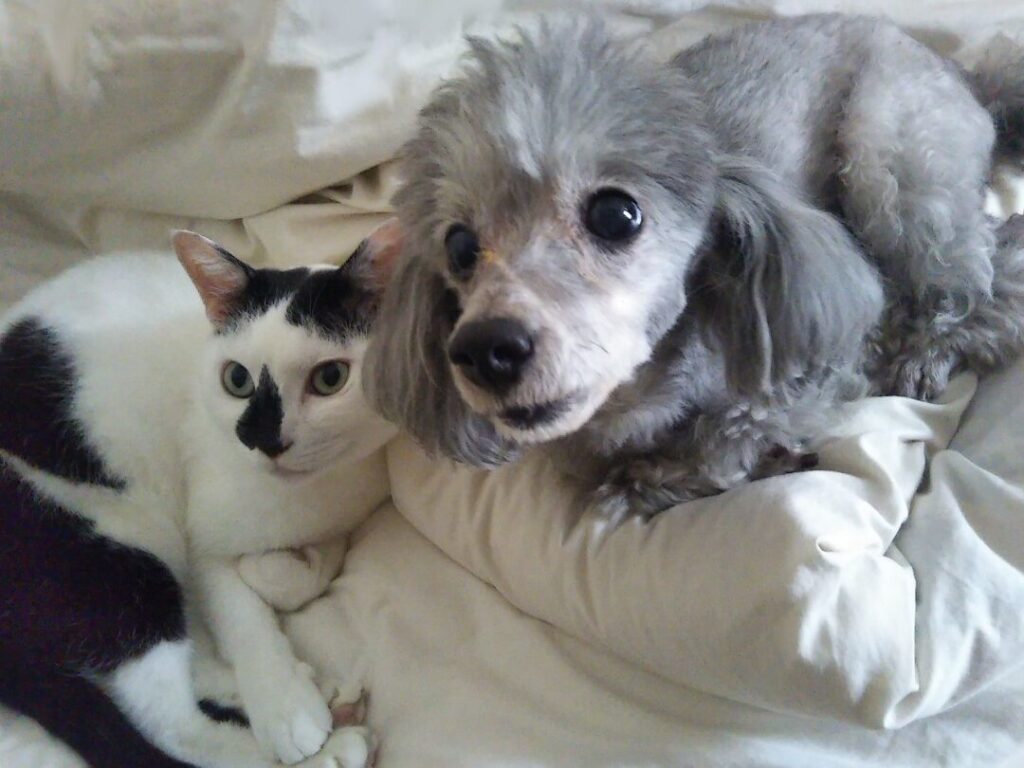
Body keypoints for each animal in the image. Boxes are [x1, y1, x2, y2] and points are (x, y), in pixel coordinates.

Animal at [0, 225, 401, 768]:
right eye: (237, 380)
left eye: (330, 378)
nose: (261, 439)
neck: (318, 487)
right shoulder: (201, 538)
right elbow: (238, 612)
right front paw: (284, 704)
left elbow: (308, 571)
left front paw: (281, 568)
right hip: (116, 559)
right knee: (171, 722)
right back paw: (331, 747)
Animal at [364, 14, 1024, 519]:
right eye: (459, 248)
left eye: (615, 214)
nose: (485, 349)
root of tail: (961, 71)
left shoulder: (814, 362)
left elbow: (725, 435)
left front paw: (663, 475)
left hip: (888, 155)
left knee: (991, 270)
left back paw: (929, 348)